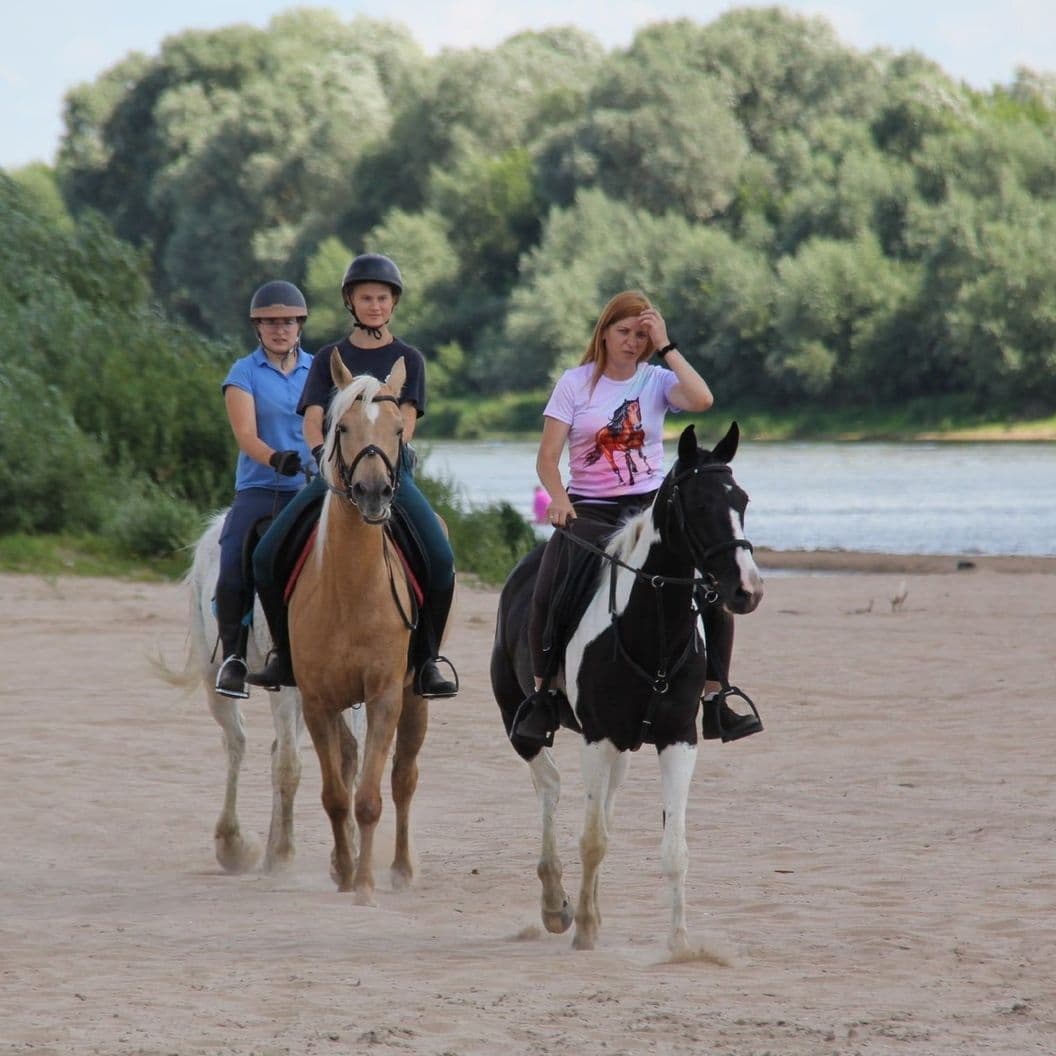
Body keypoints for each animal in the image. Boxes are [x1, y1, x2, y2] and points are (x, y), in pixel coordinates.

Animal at [287, 352, 426, 899]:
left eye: (397, 429)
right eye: (341, 427)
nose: (372, 493)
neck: (349, 588)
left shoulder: (386, 694)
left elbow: (369, 797)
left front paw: (365, 883)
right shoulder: (316, 700)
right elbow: (334, 794)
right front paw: (346, 873)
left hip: (415, 697)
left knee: (403, 777)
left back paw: (402, 869)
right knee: (347, 762)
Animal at [489, 424, 764, 954]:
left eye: (742, 499)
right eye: (700, 504)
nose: (747, 590)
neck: (651, 631)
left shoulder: (679, 738)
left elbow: (673, 848)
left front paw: (680, 945)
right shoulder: (597, 737)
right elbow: (592, 838)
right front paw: (583, 931)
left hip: (624, 746)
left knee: (602, 809)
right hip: (522, 720)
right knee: (549, 786)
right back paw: (556, 906)